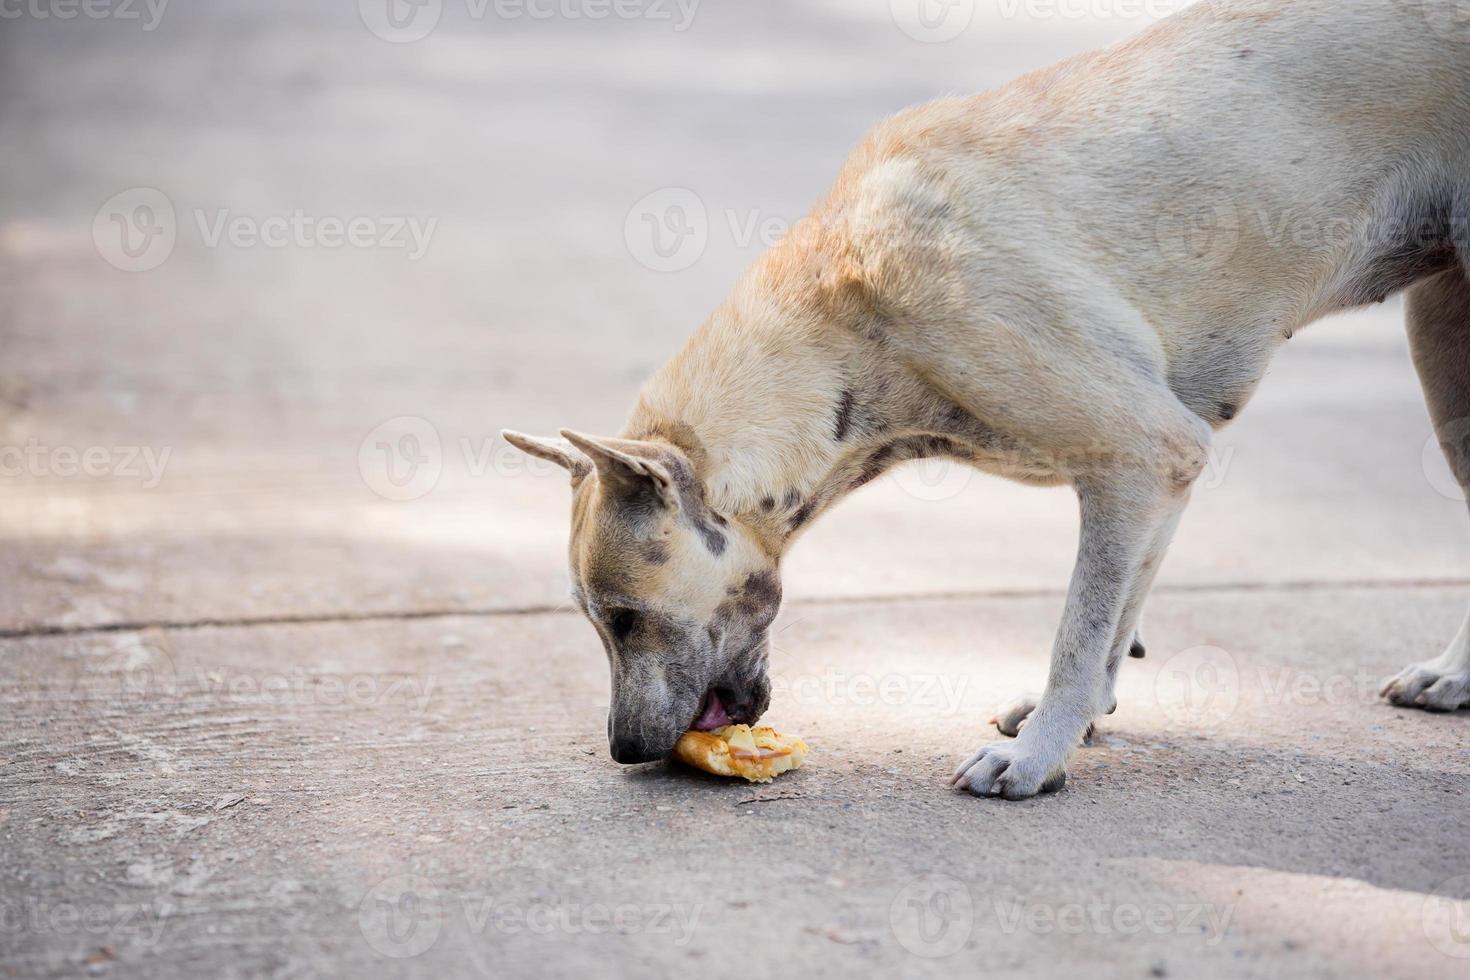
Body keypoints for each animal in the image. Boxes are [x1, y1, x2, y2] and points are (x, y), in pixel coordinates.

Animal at [505, 0, 1470, 799]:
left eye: (625, 619)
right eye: (598, 622)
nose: (625, 750)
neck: (848, 317)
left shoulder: (1140, 456)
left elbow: (1078, 633)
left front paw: (1038, 757)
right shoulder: (1165, 473)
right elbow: (1117, 615)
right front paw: (1079, 719)